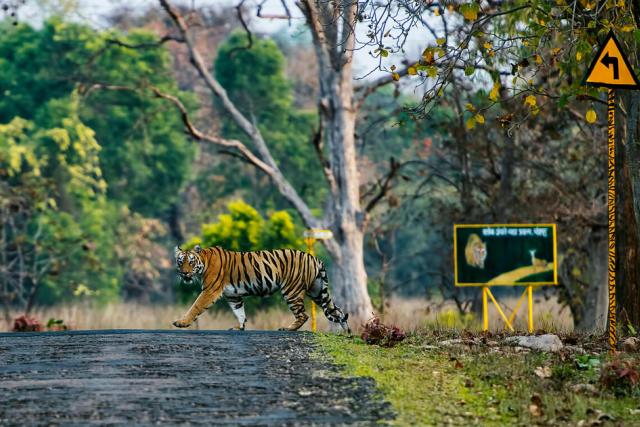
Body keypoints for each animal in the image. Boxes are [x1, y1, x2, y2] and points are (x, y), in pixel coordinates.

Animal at [173, 245, 351, 333]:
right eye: (180, 262)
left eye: (191, 262)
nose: (184, 273)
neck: (203, 263)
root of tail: (314, 258)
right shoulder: (233, 296)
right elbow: (239, 312)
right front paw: (239, 327)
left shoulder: (210, 291)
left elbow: (195, 306)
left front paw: (181, 322)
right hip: (317, 292)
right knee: (338, 311)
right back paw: (347, 332)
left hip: (292, 291)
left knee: (304, 315)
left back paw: (287, 329)